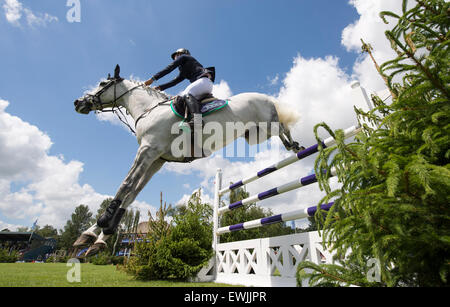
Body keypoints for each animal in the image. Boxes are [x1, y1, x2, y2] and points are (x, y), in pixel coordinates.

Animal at [73, 65, 302, 258]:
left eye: (103, 84)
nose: (78, 103)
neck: (149, 109)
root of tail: (266, 97)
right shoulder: (157, 160)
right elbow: (131, 194)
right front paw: (98, 237)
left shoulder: (148, 150)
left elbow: (125, 185)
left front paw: (99, 226)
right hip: (256, 135)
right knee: (281, 129)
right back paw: (292, 145)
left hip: (267, 125)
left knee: (282, 125)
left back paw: (295, 145)